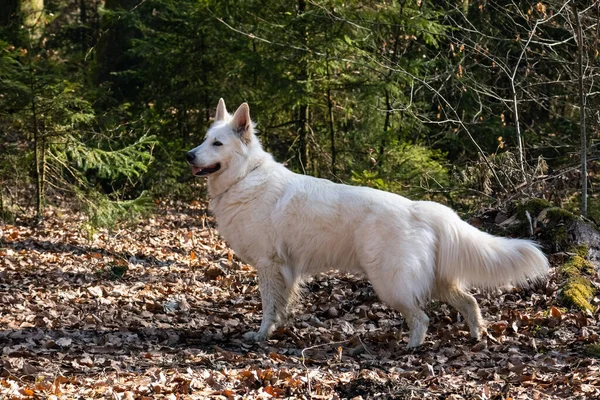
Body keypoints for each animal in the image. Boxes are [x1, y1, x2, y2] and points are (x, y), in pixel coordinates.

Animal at [188, 99, 548, 346]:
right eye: (204, 139)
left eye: (217, 144)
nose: (189, 155)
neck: (246, 176)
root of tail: (420, 209)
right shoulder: (284, 269)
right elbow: (280, 305)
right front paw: (276, 329)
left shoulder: (269, 264)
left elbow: (267, 305)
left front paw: (261, 334)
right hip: (433, 280)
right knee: (468, 301)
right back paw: (476, 334)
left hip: (390, 283)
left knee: (421, 317)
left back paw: (413, 346)